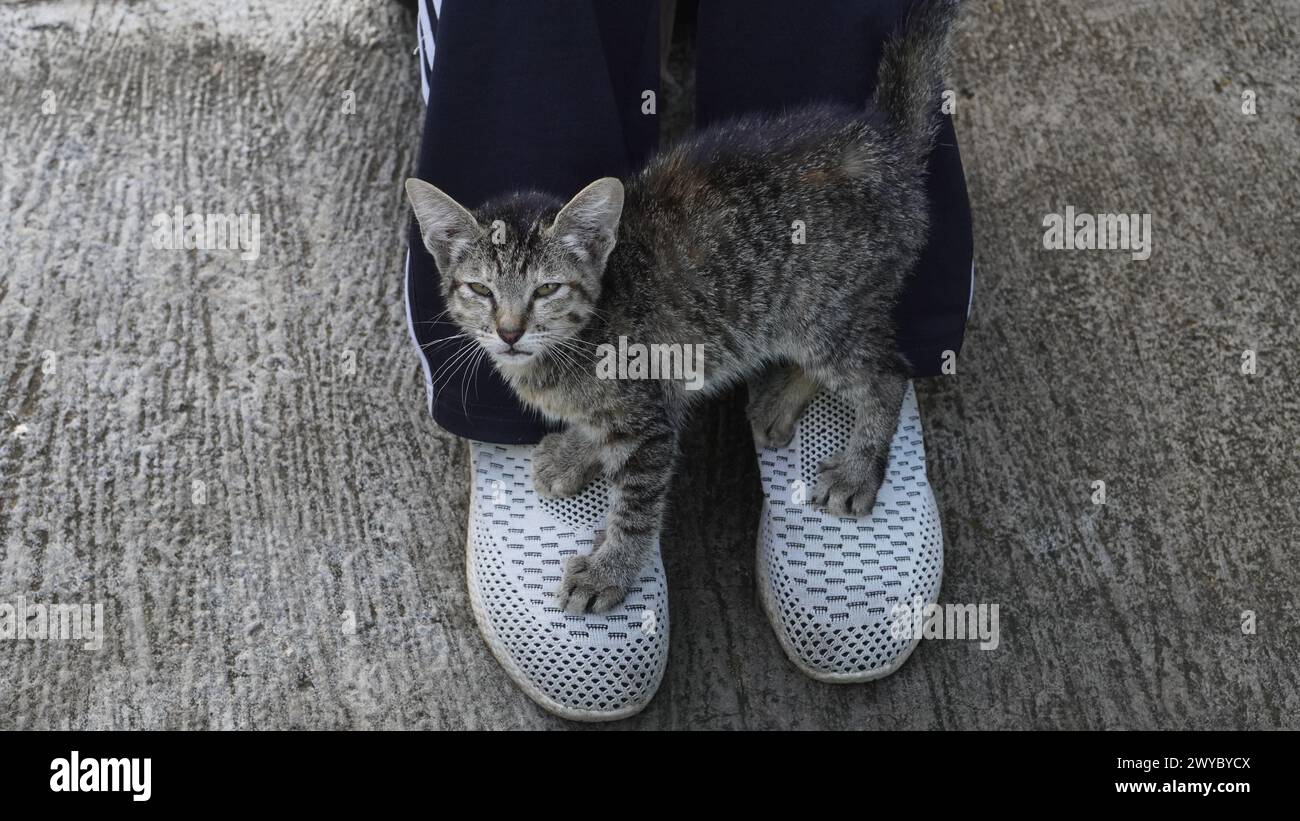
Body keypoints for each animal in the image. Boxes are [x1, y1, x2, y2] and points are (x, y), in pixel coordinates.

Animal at [410, 0, 961, 613]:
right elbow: (597, 429)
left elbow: (636, 505)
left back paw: (859, 469)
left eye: (546, 290)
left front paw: (609, 571)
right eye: (481, 291)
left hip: (822, 311)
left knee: (887, 373)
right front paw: (577, 451)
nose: (508, 331)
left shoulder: (651, 415)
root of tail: (884, 143)